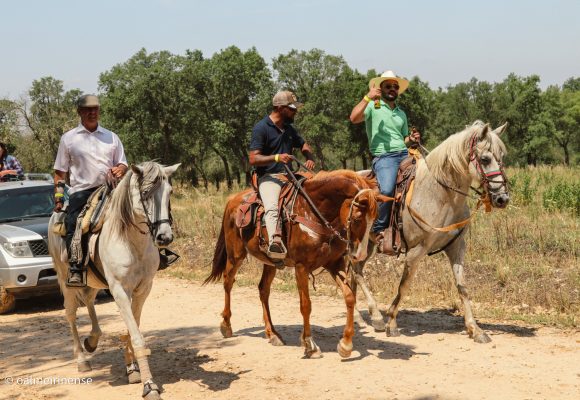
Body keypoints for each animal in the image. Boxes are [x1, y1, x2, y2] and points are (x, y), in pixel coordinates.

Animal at [48, 161, 180, 400]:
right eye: (145, 194)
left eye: (170, 192)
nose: (164, 237)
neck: (131, 240)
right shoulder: (119, 290)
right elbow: (137, 336)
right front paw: (149, 385)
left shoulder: (143, 290)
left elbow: (132, 328)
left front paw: (132, 368)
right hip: (66, 281)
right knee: (70, 314)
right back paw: (82, 360)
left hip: (92, 282)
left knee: (89, 301)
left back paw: (92, 339)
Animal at [205, 169, 382, 358]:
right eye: (357, 219)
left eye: (375, 219)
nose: (360, 255)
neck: (313, 212)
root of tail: (233, 200)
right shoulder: (301, 267)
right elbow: (306, 305)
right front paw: (310, 345)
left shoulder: (335, 264)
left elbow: (349, 297)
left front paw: (346, 344)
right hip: (235, 255)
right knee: (228, 282)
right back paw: (226, 325)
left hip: (271, 262)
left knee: (263, 289)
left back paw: (272, 333)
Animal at [353, 121, 509, 343]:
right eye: (485, 159)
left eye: (502, 157)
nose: (502, 199)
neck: (441, 194)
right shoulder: (416, 250)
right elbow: (404, 286)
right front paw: (392, 323)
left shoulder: (456, 247)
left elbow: (462, 287)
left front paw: (475, 329)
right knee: (352, 271)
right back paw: (373, 317)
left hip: (369, 245)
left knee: (354, 271)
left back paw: (364, 318)